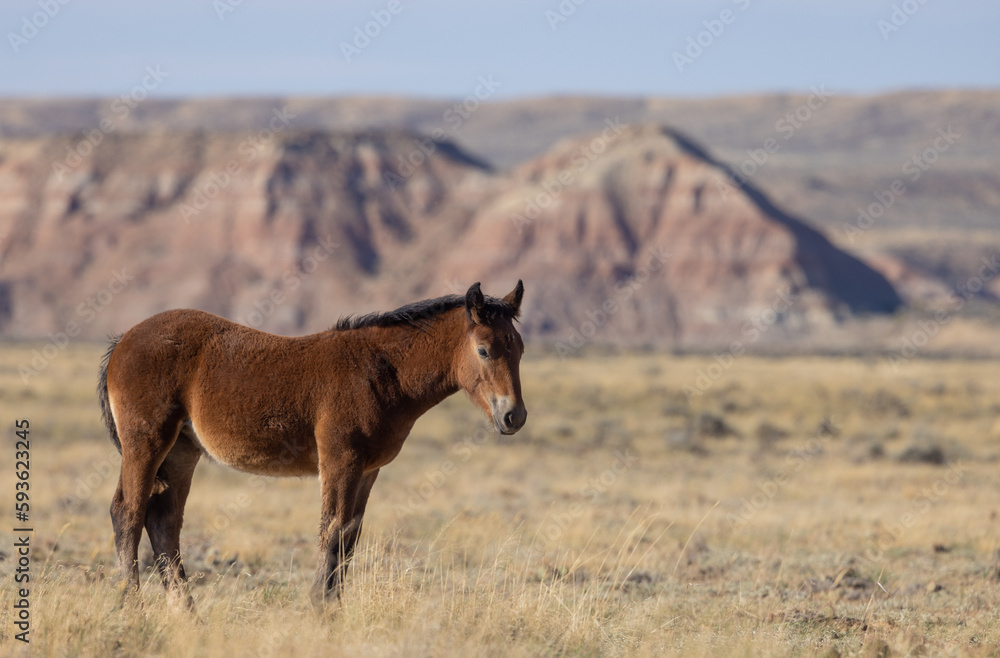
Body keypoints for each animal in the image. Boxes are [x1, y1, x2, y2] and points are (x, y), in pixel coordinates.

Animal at [97, 280, 528, 608]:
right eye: (483, 350)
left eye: (520, 348)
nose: (514, 417)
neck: (381, 372)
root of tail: (123, 340)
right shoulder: (340, 459)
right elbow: (331, 530)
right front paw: (321, 608)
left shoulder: (368, 470)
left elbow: (348, 538)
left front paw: (334, 606)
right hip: (146, 443)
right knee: (127, 514)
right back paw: (133, 608)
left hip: (182, 452)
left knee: (164, 522)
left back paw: (187, 614)